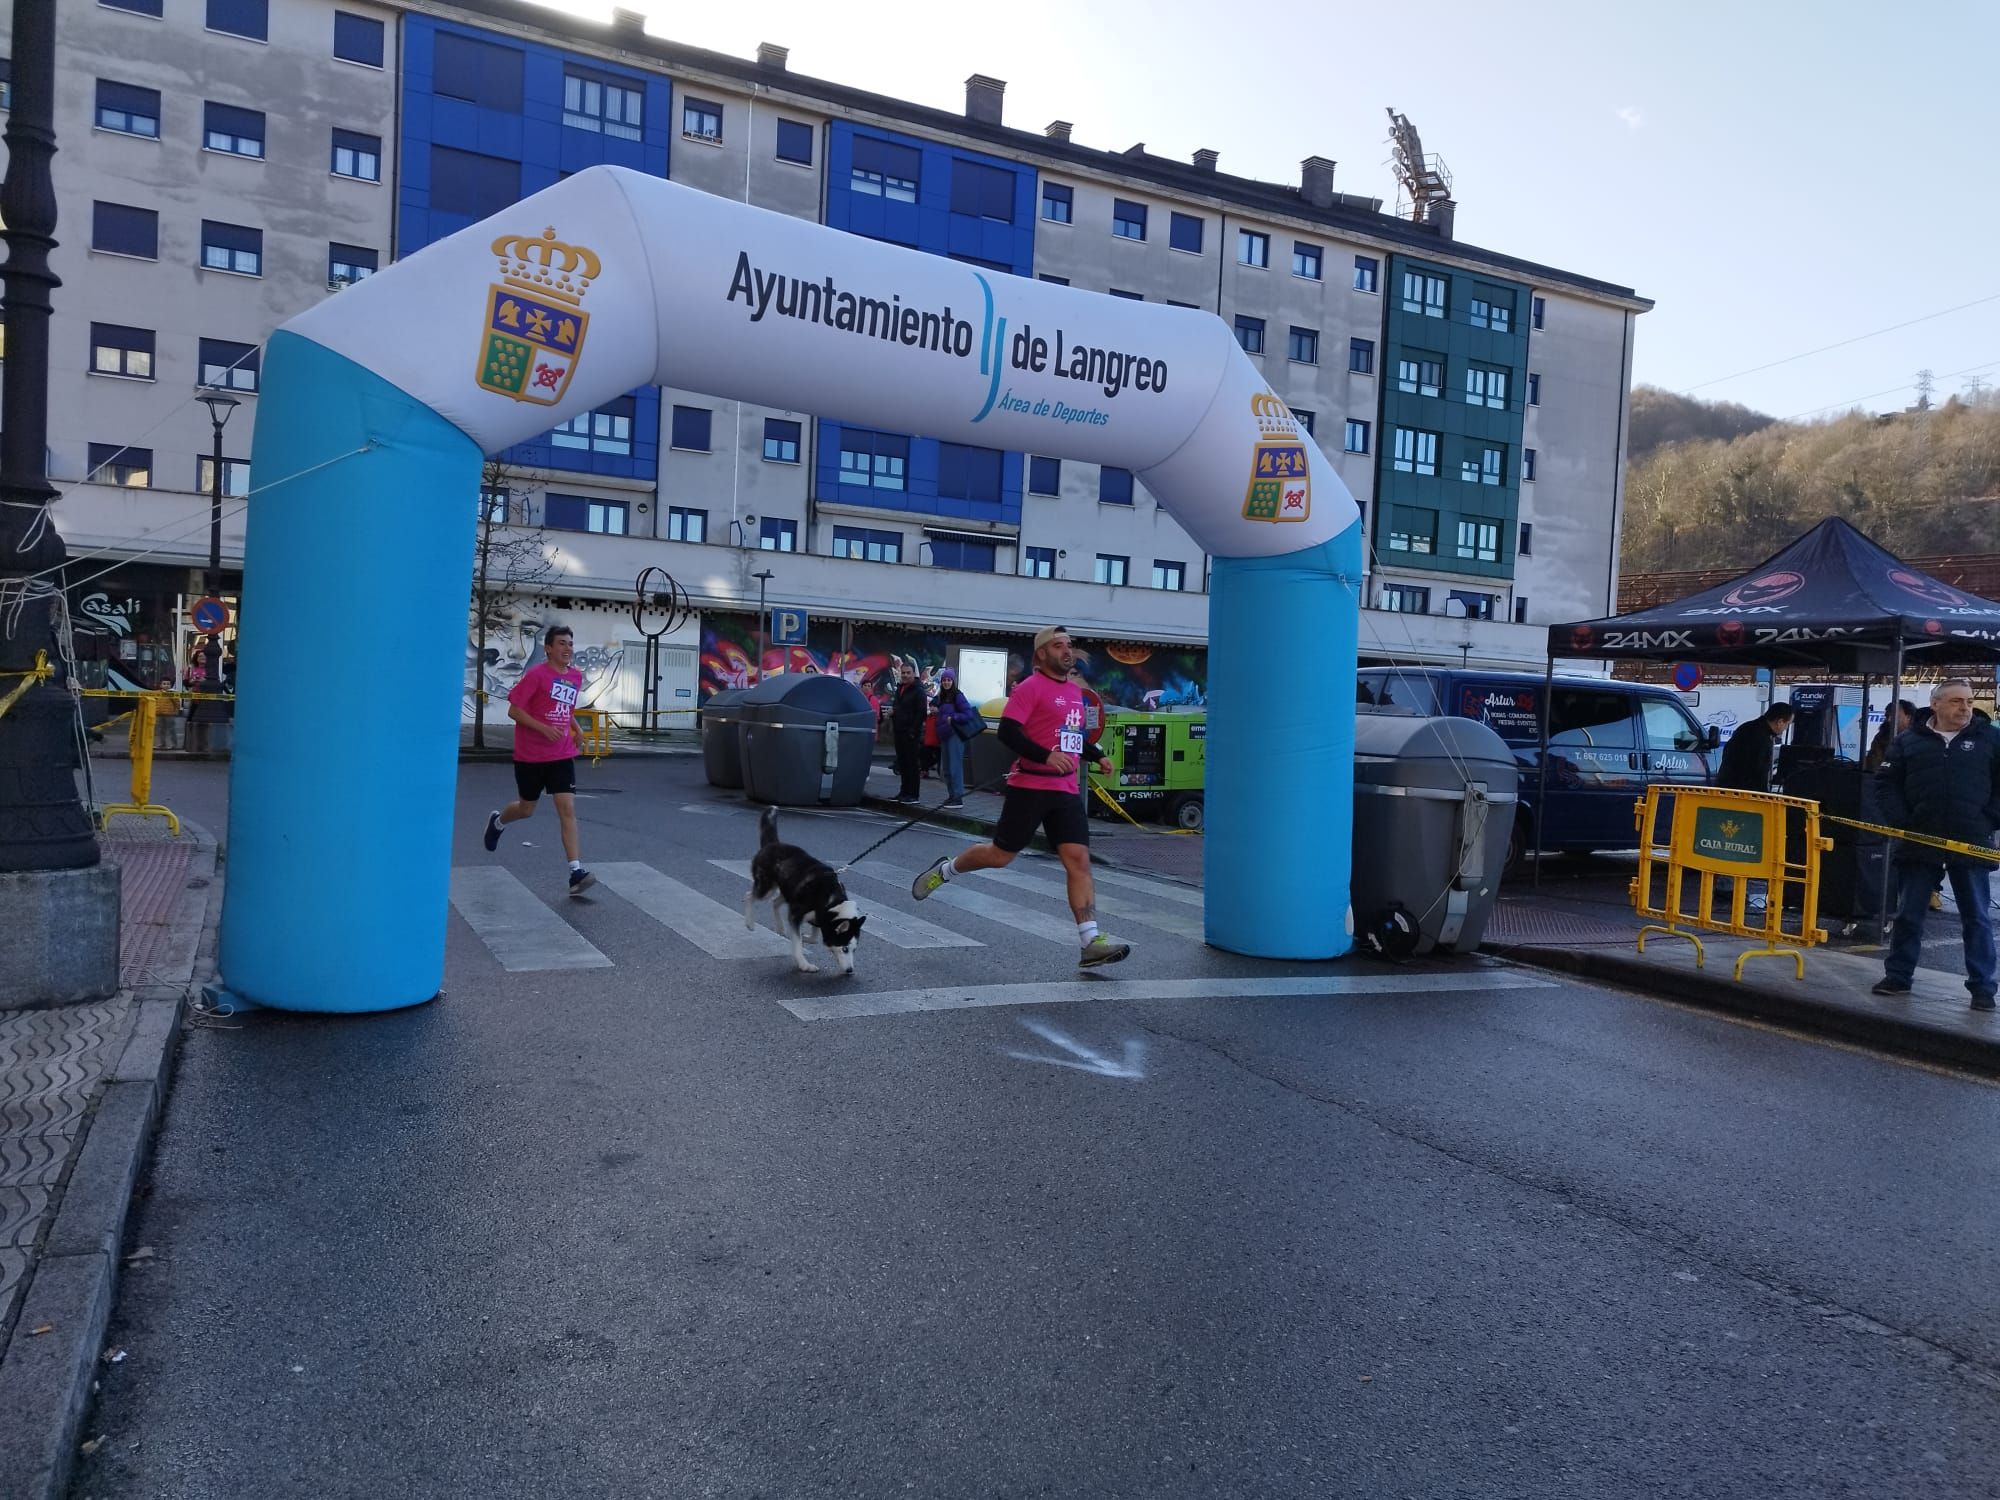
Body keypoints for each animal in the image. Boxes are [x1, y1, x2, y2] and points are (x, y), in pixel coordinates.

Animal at [748, 812, 864, 976]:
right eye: (845, 948)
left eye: (855, 950)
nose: (850, 971)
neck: (831, 901)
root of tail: (773, 844)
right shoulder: (796, 915)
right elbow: (798, 944)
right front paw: (804, 964)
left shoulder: (817, 916)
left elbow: (813, 936)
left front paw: (806, 937)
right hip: (766, 888)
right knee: (749, 896)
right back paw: (750, 923)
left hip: (788, 891)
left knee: (775, 902)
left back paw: (780, 927)